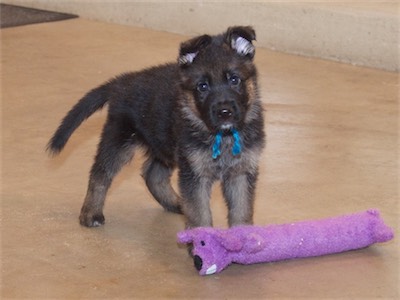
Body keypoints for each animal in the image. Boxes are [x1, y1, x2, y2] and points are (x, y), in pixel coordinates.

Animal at [47, 25, 266, 229]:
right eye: (202, 86)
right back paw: (90, 213)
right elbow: (199, 214)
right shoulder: (194, 175)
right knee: (100, 174)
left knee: (152, 174)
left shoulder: (241, 174)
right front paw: (200, 242)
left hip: (162, 143)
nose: (224, 112)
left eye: (234, 79)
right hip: (120, 141)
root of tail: (121, 82)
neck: (224, 136)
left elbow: (241, 213)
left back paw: (177, 203)